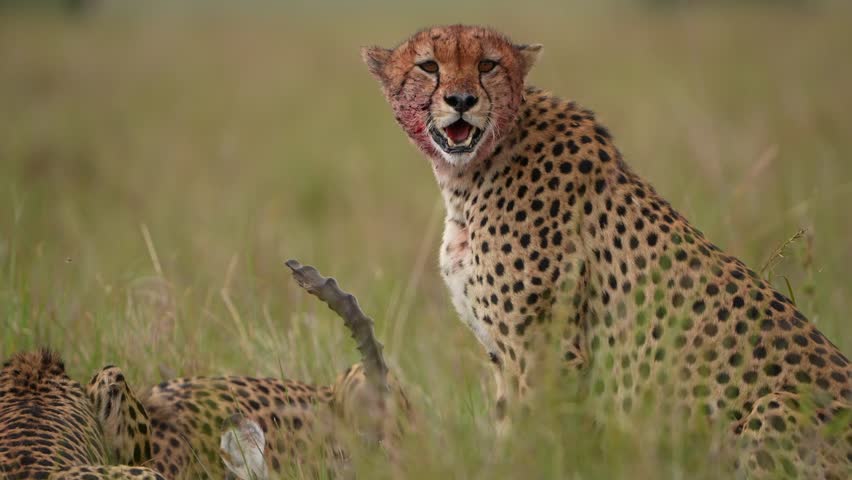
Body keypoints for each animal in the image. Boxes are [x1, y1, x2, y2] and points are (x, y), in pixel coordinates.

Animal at [361, 25, 851, 478]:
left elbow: (539, 436)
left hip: (775, 406)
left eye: (487, 65)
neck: (471, 170)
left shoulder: (547, 351)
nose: (461, 100)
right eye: (429, 66)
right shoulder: (505, 354)